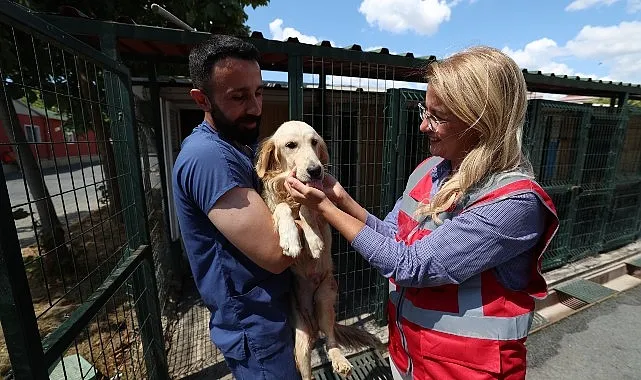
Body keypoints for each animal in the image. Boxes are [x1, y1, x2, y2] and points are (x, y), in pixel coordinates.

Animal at [255, 121, 382, 380]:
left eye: (314, 142)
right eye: (291, 145)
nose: (315, 170)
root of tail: (313, 326)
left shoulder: (322, 211)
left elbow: (308, 208)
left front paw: (313, 241)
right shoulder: (272, 207)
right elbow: (283, 208)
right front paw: (291, 240)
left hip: (325, 300)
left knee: (331, 339)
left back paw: (340, 361)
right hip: (301, 341)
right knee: (307, 373)